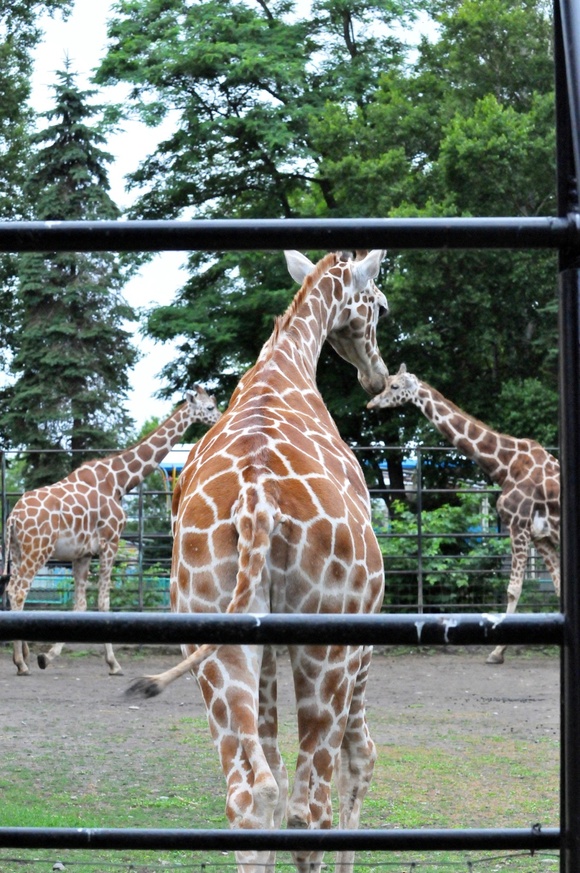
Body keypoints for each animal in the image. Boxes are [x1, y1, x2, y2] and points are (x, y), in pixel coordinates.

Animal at [2, 382, 220, 676]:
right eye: (209, 407)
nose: (220, 419)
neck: (118, 480)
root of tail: (13, 517)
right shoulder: (110, 543)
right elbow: (103, 604)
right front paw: (114, 663)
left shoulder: (82, 554)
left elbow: (80, 606)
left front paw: (47, 656)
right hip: (38, 549)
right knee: (18, 591)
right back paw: (21, 663)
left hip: (18, 551)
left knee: (11, 590)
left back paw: (24, 655)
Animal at [127, 249, 390, 872]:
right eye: (381, 306)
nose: (377, 376)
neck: (285, 364)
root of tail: (257, 500)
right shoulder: (364, 631)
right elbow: (361, 756)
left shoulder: (263, 643)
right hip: (328, 644)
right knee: (308, 804)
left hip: (211, 634)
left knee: (252, 794)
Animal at [368, 362, 560, 660]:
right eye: (387, 383)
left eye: (395, 386)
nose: (371, 403)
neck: (506, 464)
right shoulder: (541, 537)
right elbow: (558, 588)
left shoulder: (518, 526)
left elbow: (513, 589)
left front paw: (497, 652)